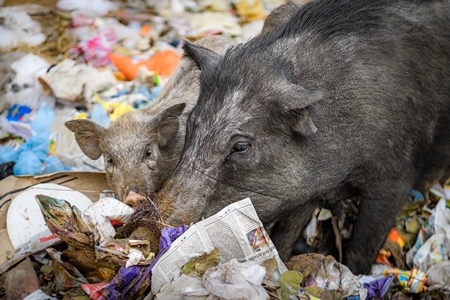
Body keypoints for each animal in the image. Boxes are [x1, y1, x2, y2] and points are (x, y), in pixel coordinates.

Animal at [157, 0, 450, 274]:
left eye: (240, 146)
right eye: (191, 123)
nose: (158, 222)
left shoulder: (396, 178)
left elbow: (360, 249)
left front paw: (355, 277)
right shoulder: (308, 189)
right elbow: (284, 234)